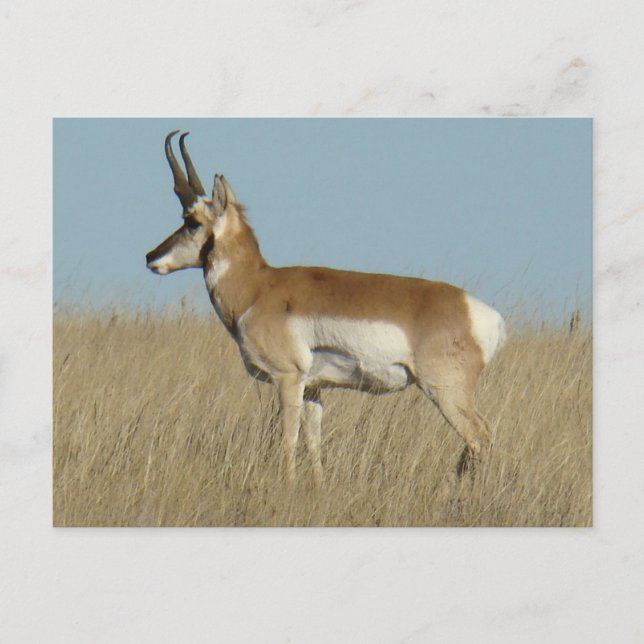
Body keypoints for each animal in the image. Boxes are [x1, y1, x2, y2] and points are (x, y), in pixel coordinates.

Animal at [146, 131, 506, 484]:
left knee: (481, 437)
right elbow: (313, 442)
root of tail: (482, 314)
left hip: (446, 393)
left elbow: (288, 440)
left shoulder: (288, 379)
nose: (151, 257)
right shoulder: (313, 389)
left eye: (191, 221)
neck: (259, 287)